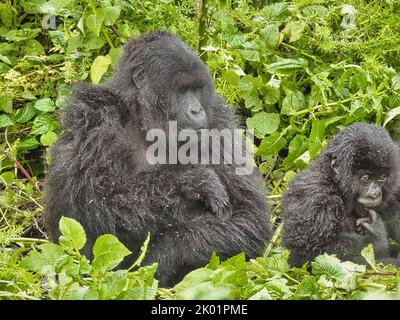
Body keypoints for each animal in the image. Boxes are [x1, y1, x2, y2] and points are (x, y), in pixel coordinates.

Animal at [44, 30, 272, 284]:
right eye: (182, 90)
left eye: (197, 90)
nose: (197, 110)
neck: (143, 118)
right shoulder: (92, 115)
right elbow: (96, 196)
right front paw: (193, 182)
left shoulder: (219, 121)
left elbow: (249, 216)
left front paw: (164, 255)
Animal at [282, 124, 400, 266]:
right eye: (366, 178)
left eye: (382, 177)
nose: (375, 194)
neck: (335, 182)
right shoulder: (316, 197)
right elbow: (305, 252)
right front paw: (376, 235)